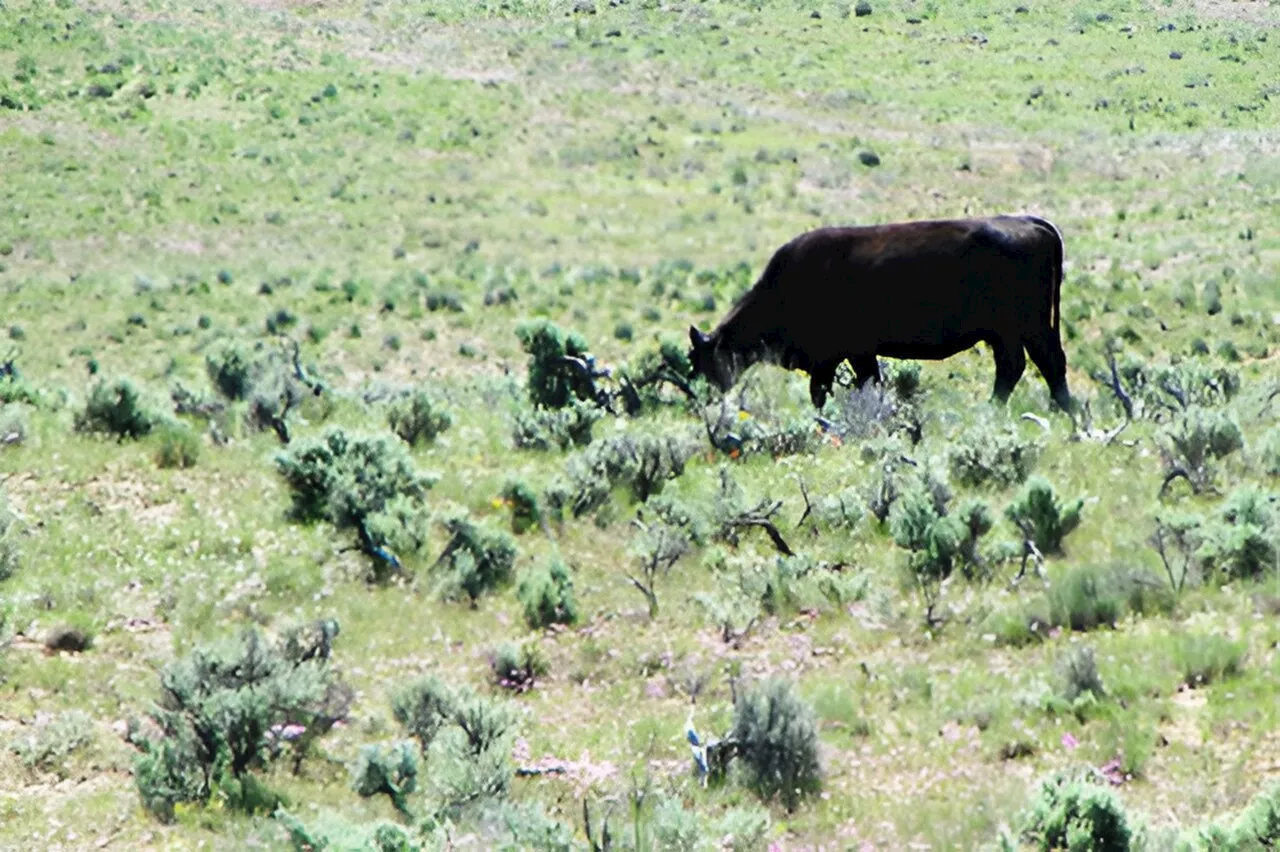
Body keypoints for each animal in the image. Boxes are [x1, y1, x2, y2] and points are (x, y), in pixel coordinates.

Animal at [691, 212, 1070, 411]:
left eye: (704, 360)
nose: (704, 397)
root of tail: (1030, 222)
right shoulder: (852, 355)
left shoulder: (843, 355)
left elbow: (827, 390)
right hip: (1010, 332)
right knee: (1023, 366)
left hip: (1025, 327)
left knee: (1038, 364)